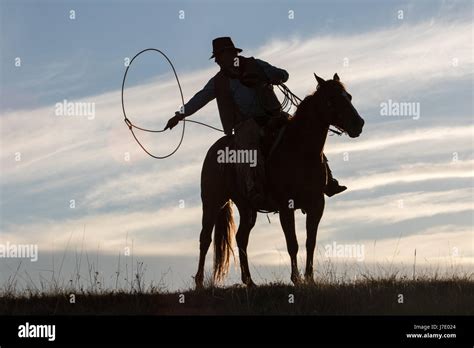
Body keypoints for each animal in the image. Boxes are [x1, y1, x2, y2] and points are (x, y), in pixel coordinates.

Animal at [194, 72, 364, 286]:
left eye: (348, 96)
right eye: (331, 99)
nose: (358, 124)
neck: (300, 150)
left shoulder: (317, 204)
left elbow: (310, 242)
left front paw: (310, 278)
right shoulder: (285, 206)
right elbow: (292, 243)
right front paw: (296, 278)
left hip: (247, 207)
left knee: (241, 238)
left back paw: (249, 281)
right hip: (212, 202)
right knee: (205, 238)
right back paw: (199, 282)